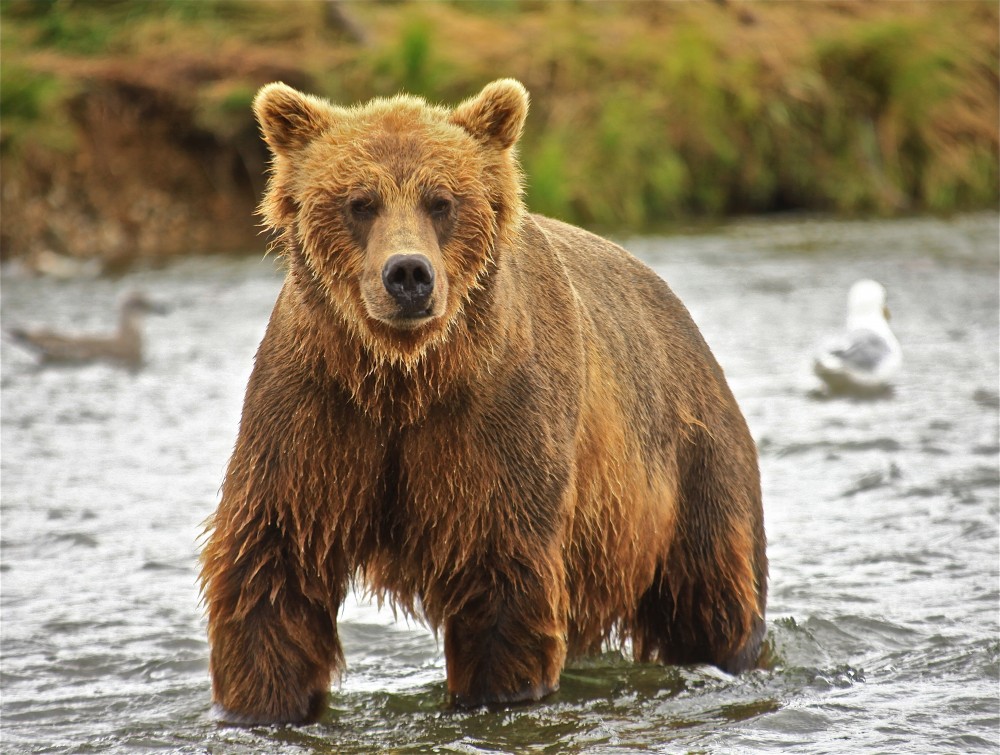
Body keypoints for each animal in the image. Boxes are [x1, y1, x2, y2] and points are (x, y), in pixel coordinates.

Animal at [201, 78, 764, 728]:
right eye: (360, 201)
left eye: (440, 201)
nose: (408, 275)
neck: (405, 377)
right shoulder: (316, 412)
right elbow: (274, 565)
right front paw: (263, 702)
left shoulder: (494, 424)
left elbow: (502, 576)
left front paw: (495, 693)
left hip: (692, 470)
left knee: (713, 595)